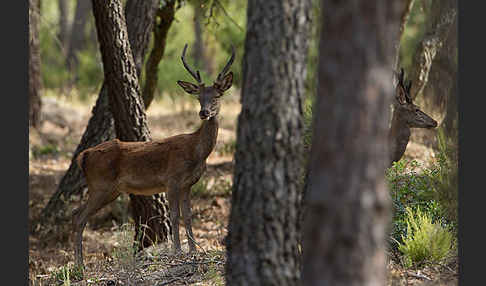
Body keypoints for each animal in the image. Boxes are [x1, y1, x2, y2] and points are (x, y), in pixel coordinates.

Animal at [71, 43, 235, 268]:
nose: (204, 112)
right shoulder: (172, 179)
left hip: (109, 189)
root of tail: (83, 156)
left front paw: (193, 249)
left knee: (78, 215)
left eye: (216, 96)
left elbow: (188, 215)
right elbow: (174, 215)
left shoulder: (187, 184)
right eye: (198, 97)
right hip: (100, 184)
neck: (196, 152)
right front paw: (177, 250)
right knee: (79, 217)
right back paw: (79, 264)